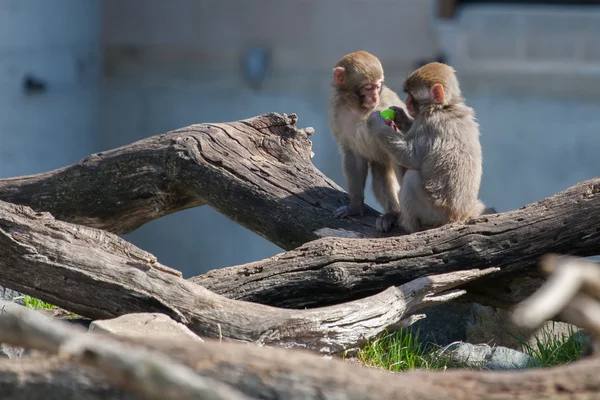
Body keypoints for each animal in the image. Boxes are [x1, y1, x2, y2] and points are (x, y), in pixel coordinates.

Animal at [326, 50, 410, 231]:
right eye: (368, 87)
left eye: (378, 86)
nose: (374, 98)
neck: (357, 107)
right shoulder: (336, 112)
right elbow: (353, 156)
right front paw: (354, 207)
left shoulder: (386, 104)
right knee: (380, 176)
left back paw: (393, 214)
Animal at [368, 61, 490, 233]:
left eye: (411, 96)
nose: (406, 102)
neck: (444, 106)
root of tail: (456, 217)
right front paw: (401, 117)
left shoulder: (428, 125)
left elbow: (409, 157)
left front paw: (376, 122)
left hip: (433, 213)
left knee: (411, 177)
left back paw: (408, 225)